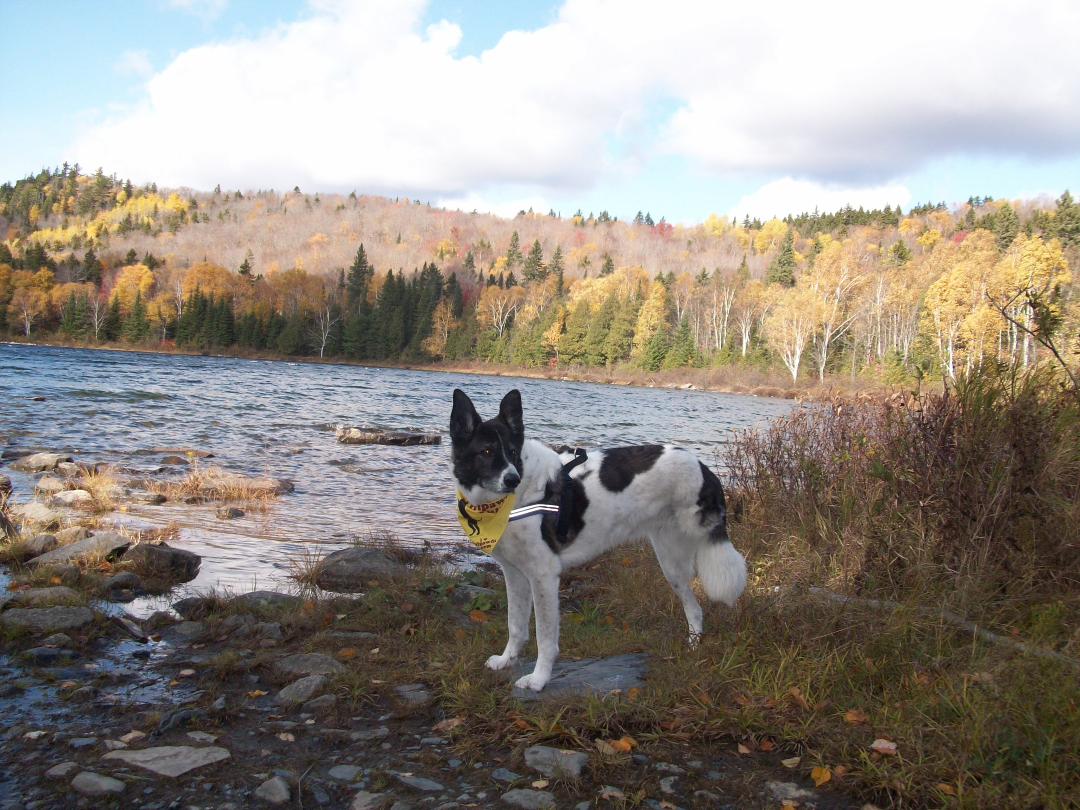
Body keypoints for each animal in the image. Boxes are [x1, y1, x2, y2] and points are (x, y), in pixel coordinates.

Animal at [444, 390, 743, 695]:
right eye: (487, 452)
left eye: (513, 453)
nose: (512, 480)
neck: (503, 505)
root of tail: (703, 467)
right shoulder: (515, 574)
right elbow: (515, 625)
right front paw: (507, 660)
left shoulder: (543, 576)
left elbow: (545, 638)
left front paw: (539, 679)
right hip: (671, 564)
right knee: (694, 609)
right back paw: (693, 649)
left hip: (680, 558)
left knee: (695, 605)